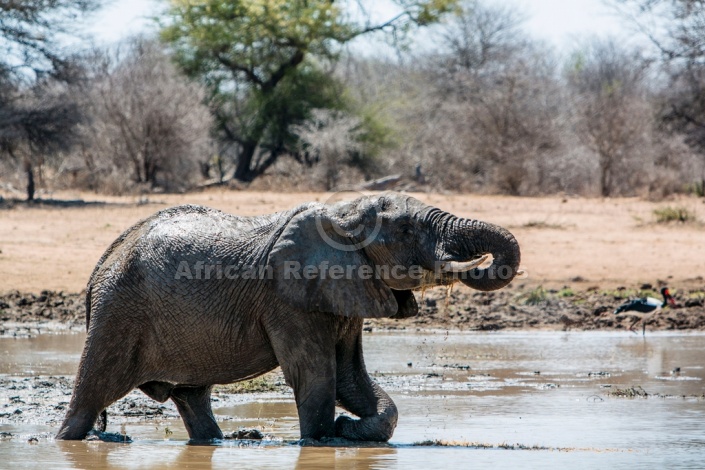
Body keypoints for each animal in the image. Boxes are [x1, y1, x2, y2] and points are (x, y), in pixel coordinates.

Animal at [56, 191, 516, 440]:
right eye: (405, 231)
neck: (341, 213)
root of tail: (101, 264)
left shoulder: (345, 291)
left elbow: (350, 376)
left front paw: (348, 429)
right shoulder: (288, 299)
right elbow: (317, 376)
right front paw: (324, 438)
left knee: (191, 398)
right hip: (118, 312)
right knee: (89, 396)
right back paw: (66, 441)